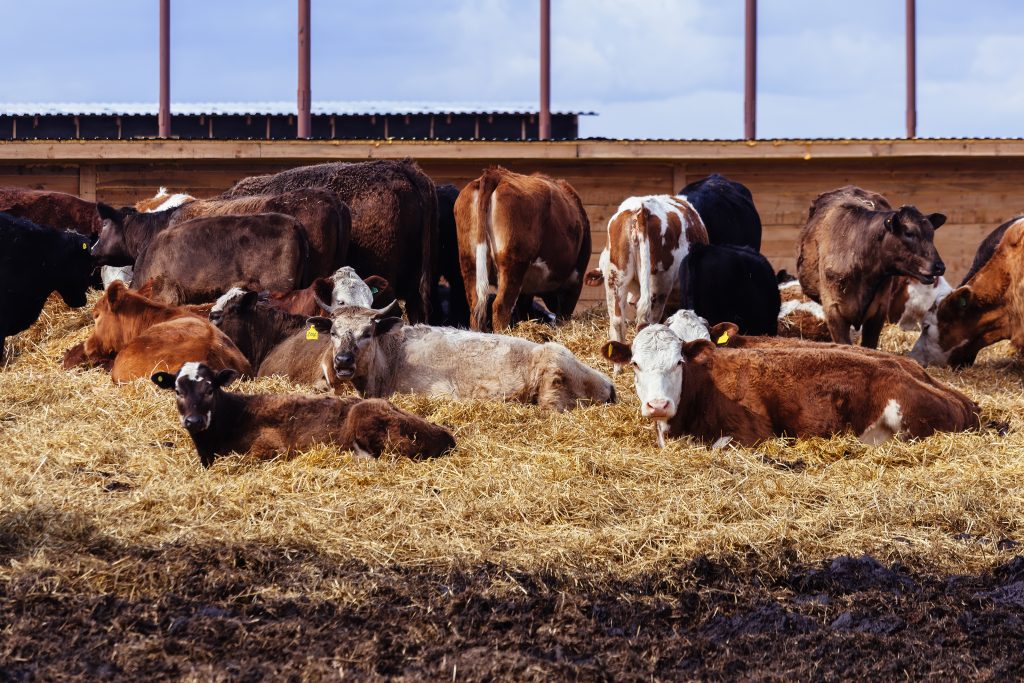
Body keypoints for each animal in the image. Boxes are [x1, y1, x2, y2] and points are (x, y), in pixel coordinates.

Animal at [151, 362, 455, 468]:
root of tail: (446, 435)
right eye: (177, 390)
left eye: (209, 389)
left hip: (366, 416)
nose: (193, 421)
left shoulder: (269, 448)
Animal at [455, 166, 590, 332]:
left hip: (469, 262)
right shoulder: (575, 280)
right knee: (501, 306)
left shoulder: (527, 290)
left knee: (475, 307)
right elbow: (563, 315)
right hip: (513, 264)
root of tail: (495, 173)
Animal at [584, 195, 708, 370]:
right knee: (648, 321)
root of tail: (640, 209)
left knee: (617, 321)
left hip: (615, 279)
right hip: (659, 285)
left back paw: (618, 369)